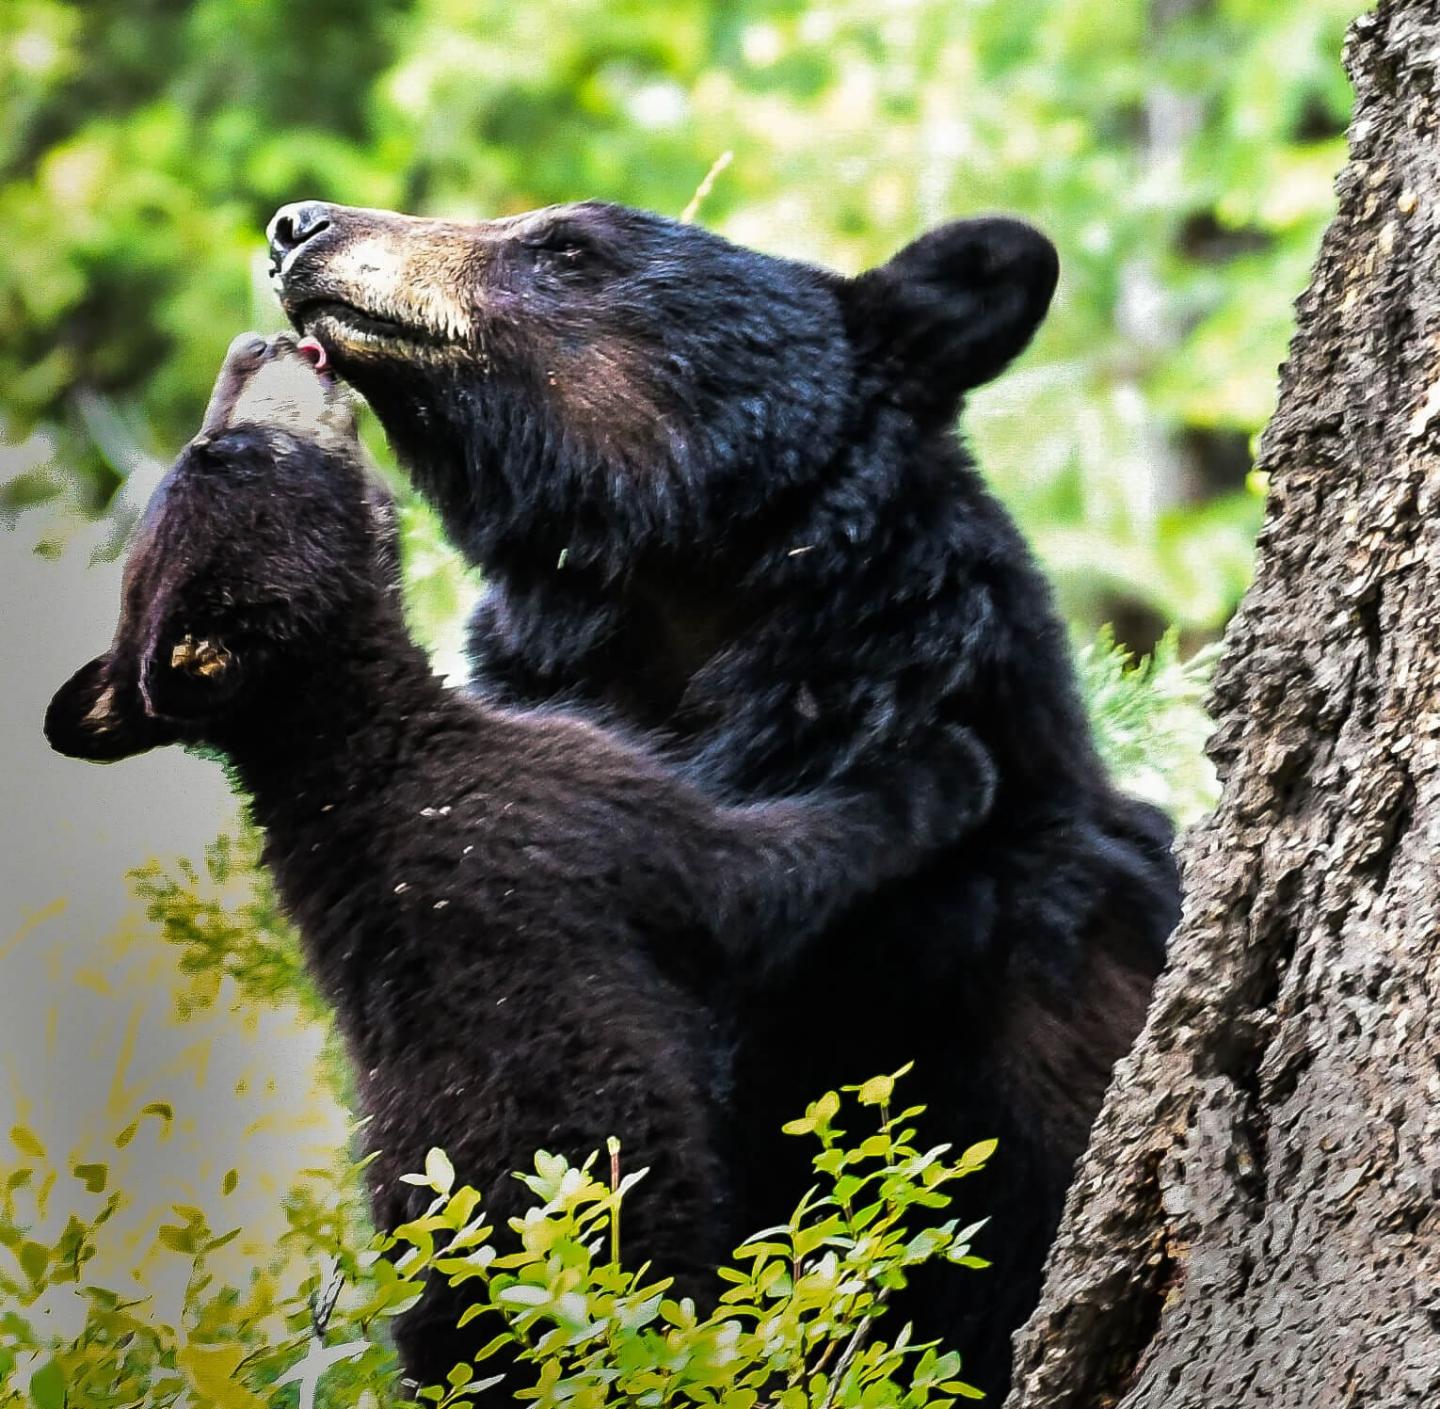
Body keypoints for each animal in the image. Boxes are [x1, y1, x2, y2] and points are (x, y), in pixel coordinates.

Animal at [44, 332, 994, 1394]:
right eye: (231, 455)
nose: (259, 341)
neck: (364, 747)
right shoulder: (568, 811)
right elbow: (757, 875)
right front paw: (950, 766)